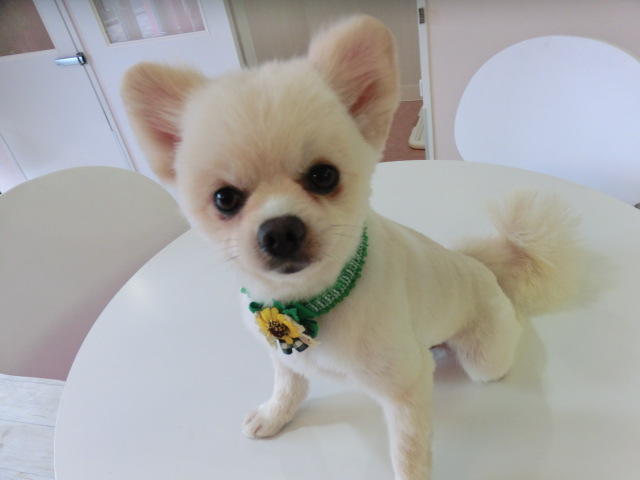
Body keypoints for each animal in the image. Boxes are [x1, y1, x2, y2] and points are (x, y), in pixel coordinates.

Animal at [122, 15, 582, 480]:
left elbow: (409, 453)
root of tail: (480, 265)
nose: (280, 231)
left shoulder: (407, 389)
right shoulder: (284, 358)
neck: (309, 304)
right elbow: (288, 385)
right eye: (225, 199)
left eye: (323, 175)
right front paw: (274, 414)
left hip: (484, 359)